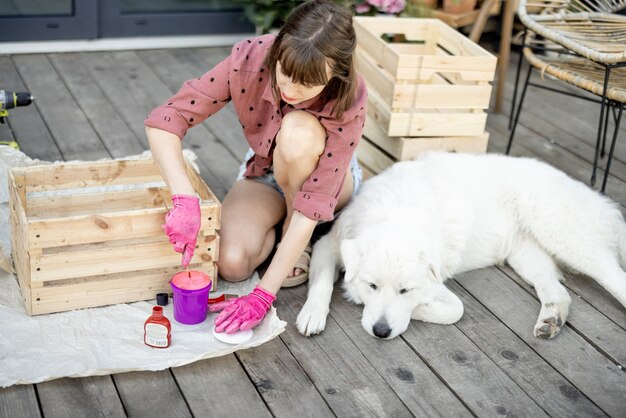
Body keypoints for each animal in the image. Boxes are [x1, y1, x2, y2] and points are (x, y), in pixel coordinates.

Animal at [294, 153, 624, 340]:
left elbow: (455, 310)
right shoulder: (329, 244)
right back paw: (551, 321)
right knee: (557, 291)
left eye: (405, 290)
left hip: (567, 237)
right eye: (372, 285)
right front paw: (312, 314)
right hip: (526, 255)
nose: (381, 332)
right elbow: (321, 284)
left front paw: (419, 309)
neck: (398, 213)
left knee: (612, 275)